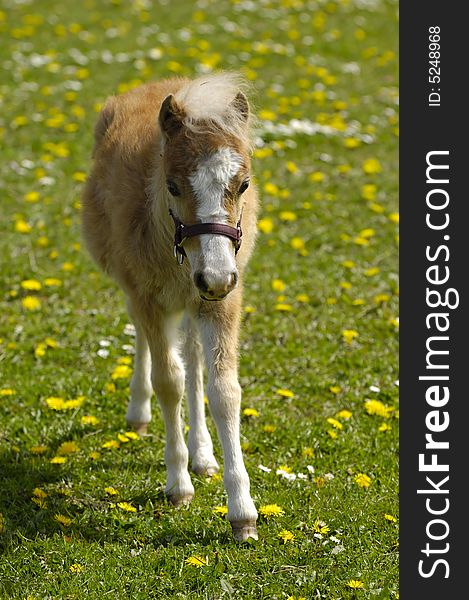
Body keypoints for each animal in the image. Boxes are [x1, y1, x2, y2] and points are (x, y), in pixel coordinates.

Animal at [82, 72, 262, 540]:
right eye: (173, 186)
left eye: (243, 184)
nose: (214, 277)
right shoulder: (147, 295)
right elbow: (168, 381)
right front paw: (178, 485)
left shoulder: (223, 301)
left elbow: (224, 390)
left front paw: (242, 512)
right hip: (141, 291)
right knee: (151, 344)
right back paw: (139, 412)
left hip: (196, 303)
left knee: (194, 356)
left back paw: (204, 454)